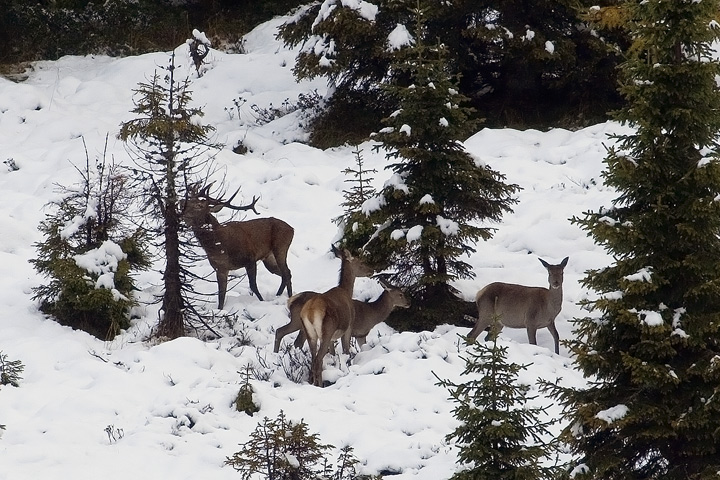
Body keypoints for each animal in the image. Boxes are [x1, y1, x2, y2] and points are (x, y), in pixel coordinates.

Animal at [274, 278, 410, 352]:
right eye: (400, 294)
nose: (409, 303)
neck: (372, 314)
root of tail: (291, 300)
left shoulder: (360, 335)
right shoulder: (358, 332)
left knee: (288, 336)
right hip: (298, 322)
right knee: (286, 334)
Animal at [294, 246, 372, 388]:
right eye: (361, 262)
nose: (372, 270)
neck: (347, 291)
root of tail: (310, 312)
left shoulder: (332, 337)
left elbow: (333, 353)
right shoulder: (348, 327)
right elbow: (346, 351)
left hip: (311, 334)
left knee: (313, 359)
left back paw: (313, 383)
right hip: (326, 331)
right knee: (318, 360)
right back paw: (319, 385)